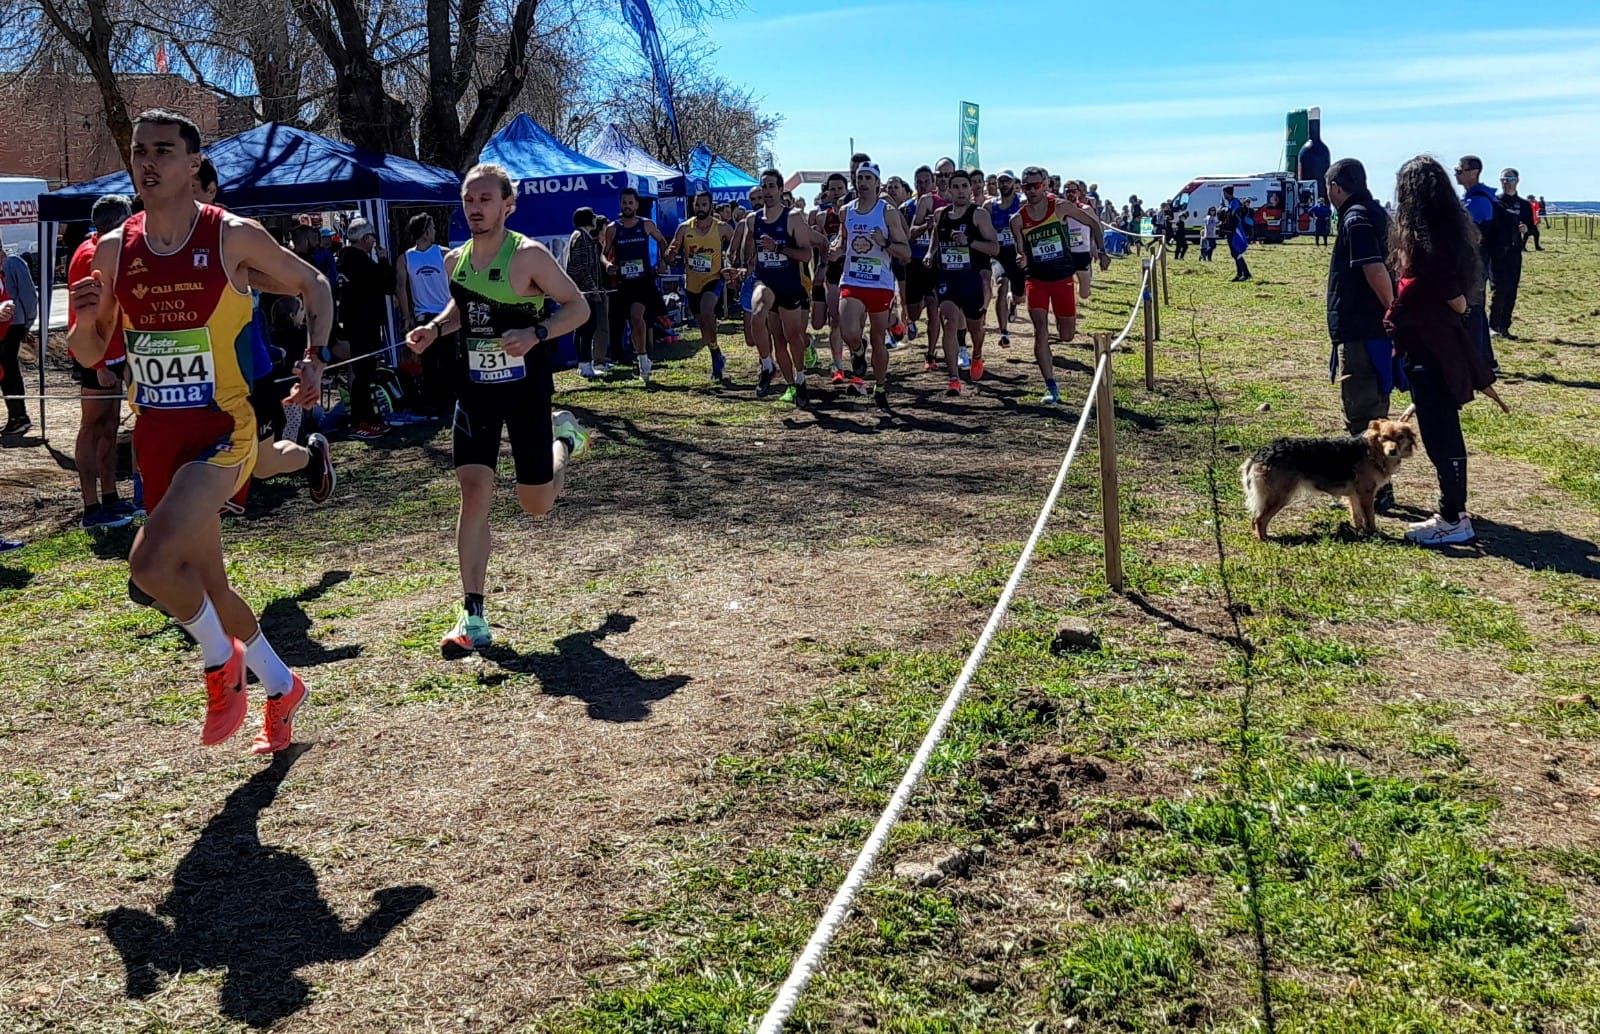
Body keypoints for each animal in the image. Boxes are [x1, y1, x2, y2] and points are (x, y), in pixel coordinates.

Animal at [1241, 419, 1420, 544]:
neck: (1372, 450)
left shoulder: (1354, 495)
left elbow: (1357, 516)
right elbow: (1370, 517)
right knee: (1258, 520)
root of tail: (1263, 452)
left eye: (1400, 437)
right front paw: (1373, 534)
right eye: (1384, 437)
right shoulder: (1366, 493)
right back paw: (1264, 539)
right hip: (1279, 496)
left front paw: (1360, 532)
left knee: (1256, 520)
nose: (1392, 451)